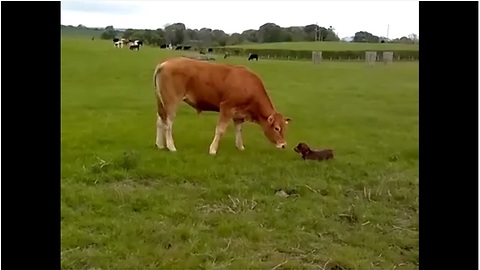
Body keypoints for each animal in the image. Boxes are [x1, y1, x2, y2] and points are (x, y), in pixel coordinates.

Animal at [153, 56, 292, 156]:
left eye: (285, 129)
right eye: (277, 128)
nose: (283, 145)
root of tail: (165, 63)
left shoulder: (239, 114)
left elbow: (238, 130)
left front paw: (240, 147)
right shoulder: (226, 107)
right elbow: (220, 130)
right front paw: (213, 150)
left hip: (162, 102)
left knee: (160, 121)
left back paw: (160, 145)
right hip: (171, 101)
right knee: (168, 124)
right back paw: (171, 147)